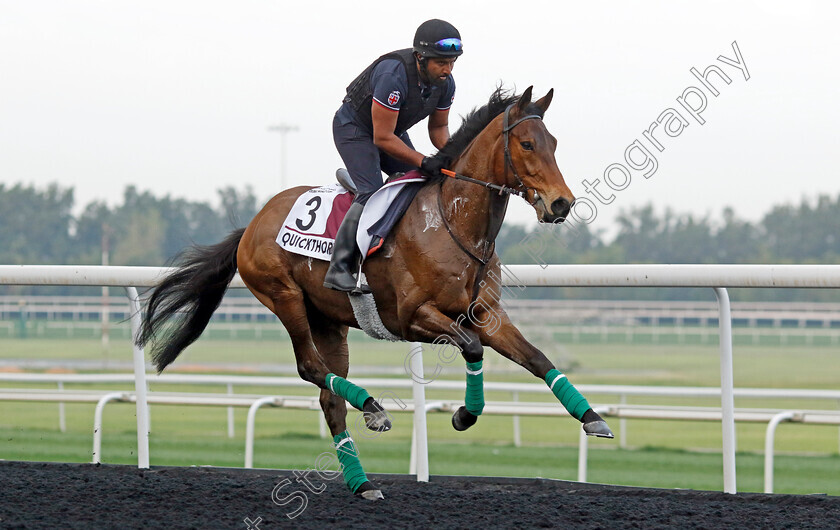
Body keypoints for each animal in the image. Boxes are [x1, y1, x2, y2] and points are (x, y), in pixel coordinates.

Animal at [136, 86, 612, 500]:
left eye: (554, 143)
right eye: (528, 144)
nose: (561, 203)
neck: (453, 221)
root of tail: (253, 223)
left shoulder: (485, 314)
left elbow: (537, 358)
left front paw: (592, 418)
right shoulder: (413, 317)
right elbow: (473, 348)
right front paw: (464, 414)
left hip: (329, 321)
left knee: (329, 397)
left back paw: (362, 480)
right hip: (284, 298)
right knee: (310, 367)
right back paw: (372, 407)